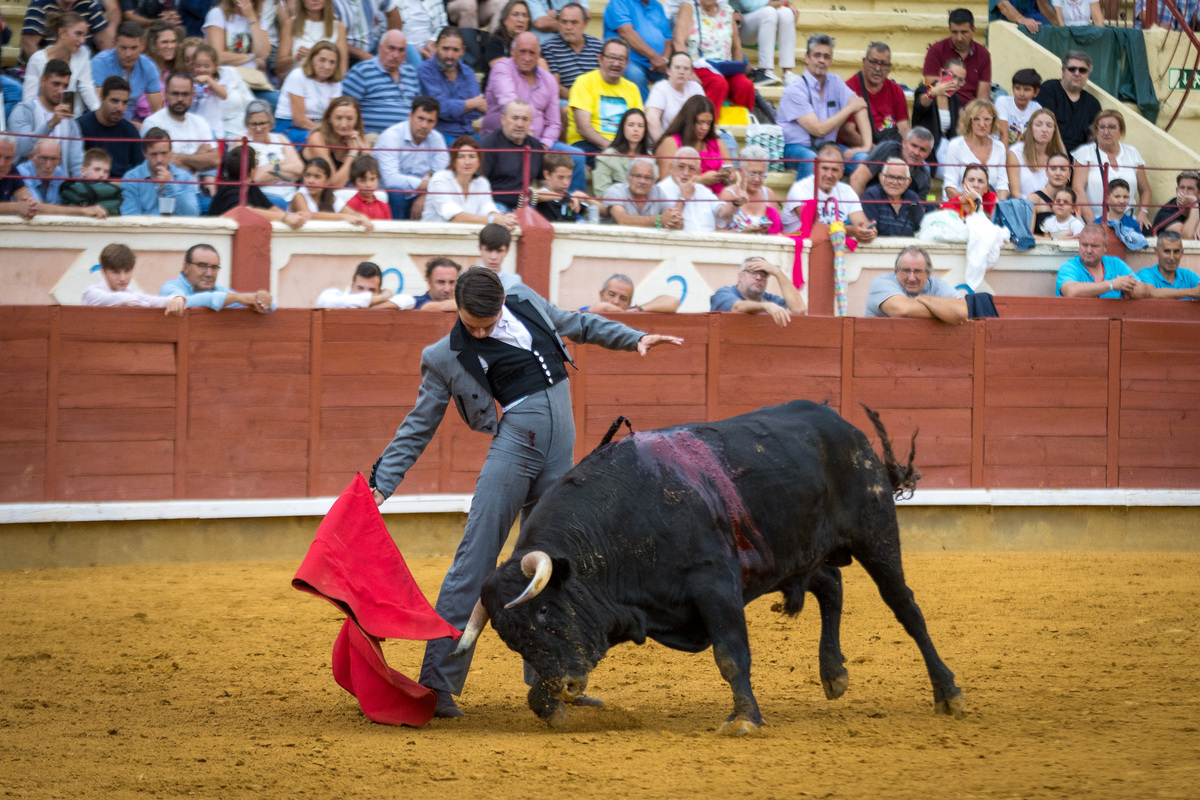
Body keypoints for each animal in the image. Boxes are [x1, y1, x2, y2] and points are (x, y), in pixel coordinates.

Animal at [451, 402, 964, 734]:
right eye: (511, 639)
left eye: (542, 611)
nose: (569, 685)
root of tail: (843, 426)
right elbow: (535, 698)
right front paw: (553, 706)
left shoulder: (715, 585)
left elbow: (731, 653)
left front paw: (744, 720)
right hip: (793, 554)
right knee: (831, 585)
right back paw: (833, 674)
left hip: (874, 532)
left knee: (905, 607)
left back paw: (948, 694)